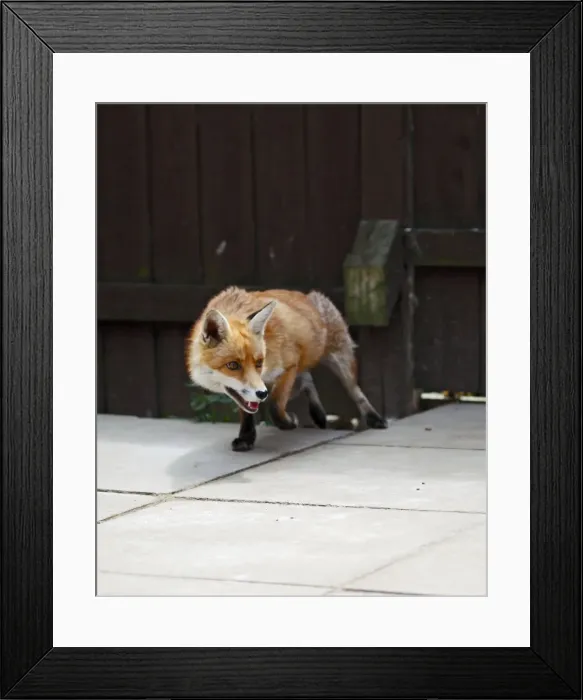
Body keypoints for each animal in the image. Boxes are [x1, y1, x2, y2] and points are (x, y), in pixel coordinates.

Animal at [186, 286, 387, 452]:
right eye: (233, 365)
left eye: (259, 362)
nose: (261, 394)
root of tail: (309, 295)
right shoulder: (252, 389)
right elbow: (249, 410)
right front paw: (246, 438)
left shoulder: (289, 366)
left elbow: (275, 407)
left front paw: (289, 422)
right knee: (307, 381)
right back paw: (318, 414)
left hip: (340, 362)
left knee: (355, 392)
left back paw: (374, 418)